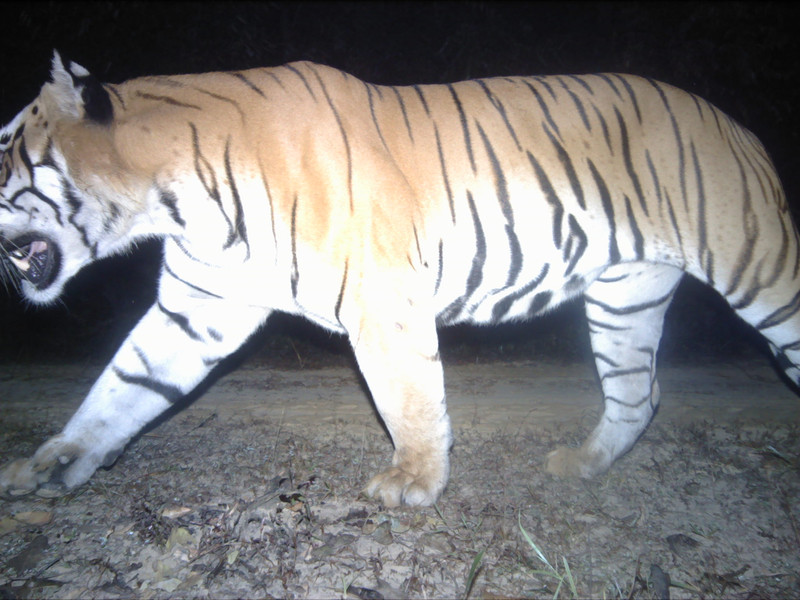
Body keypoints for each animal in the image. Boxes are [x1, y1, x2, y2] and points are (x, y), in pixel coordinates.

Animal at [0, 52, 798, 507]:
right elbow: (121, 386)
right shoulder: (198, 304)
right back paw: (583, 466)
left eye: (5, 152)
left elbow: (408, 396)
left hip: (758, 270)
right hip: (625, 297)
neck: (171, 200)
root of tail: (741, 129)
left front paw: (414, 481)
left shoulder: (380, 295)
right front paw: (54, 462)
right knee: (639, 394)